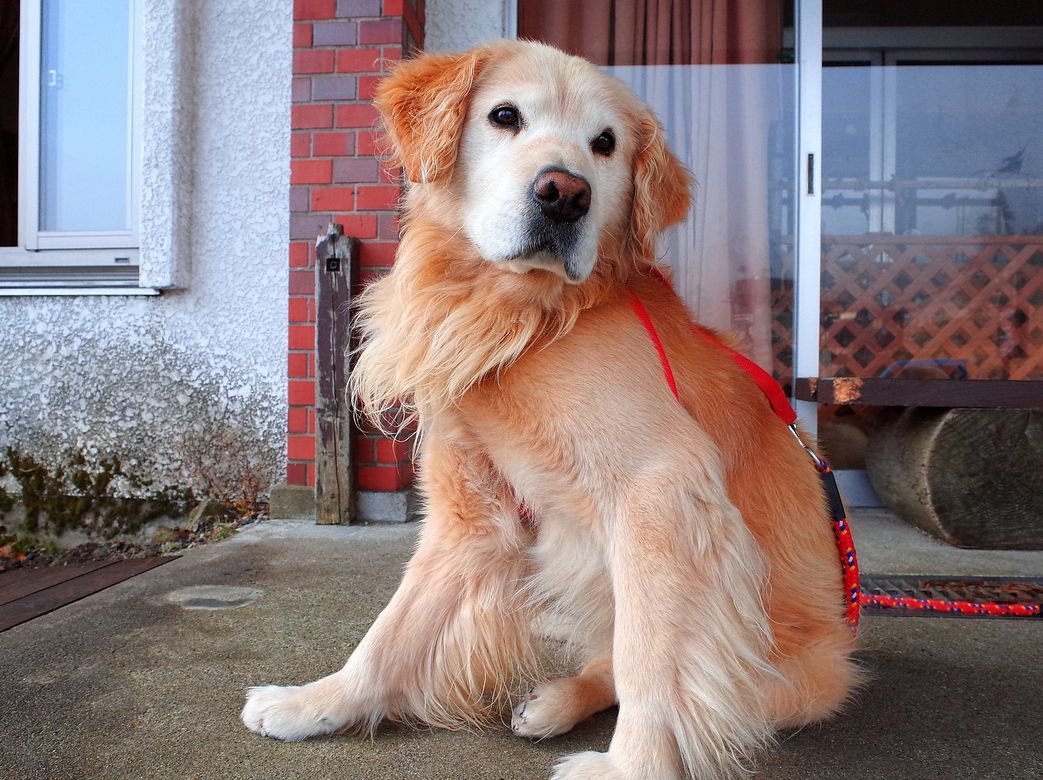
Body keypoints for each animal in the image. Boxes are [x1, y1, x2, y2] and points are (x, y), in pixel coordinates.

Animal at [241, 39, 855, 775]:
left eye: (605, 143)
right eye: (504, 115)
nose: (564, 194)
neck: (523, 319)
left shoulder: (661, 489)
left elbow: (652, 660)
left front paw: (631, 767)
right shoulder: (471, 515)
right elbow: (393, 627)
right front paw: (316, 702)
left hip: (783, 674)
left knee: (643, 665)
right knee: (603, 660)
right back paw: (554, 701)